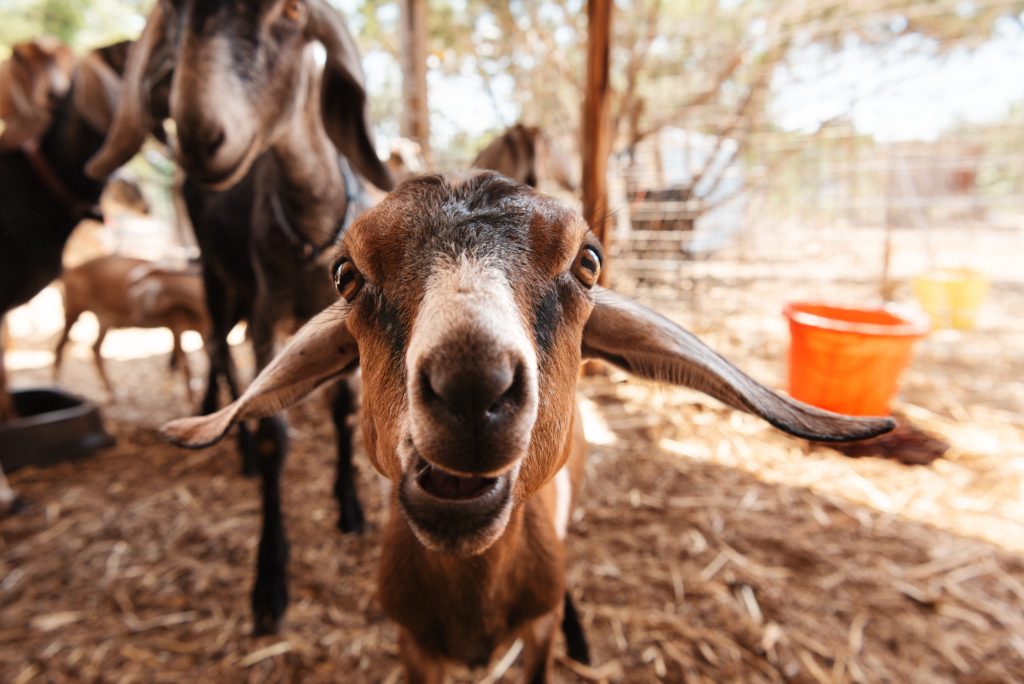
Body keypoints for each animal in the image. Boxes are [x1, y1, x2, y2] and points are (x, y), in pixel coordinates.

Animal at [56, 254, 209, 401]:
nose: (136, 314)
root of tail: (73, 268)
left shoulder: (204, 332)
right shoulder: (175, 327)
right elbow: (186, 367)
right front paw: (191, 399)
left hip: (104, 320)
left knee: (95, 349)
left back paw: (112, 392)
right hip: (73, 311)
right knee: (60, 347)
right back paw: (59, 383)